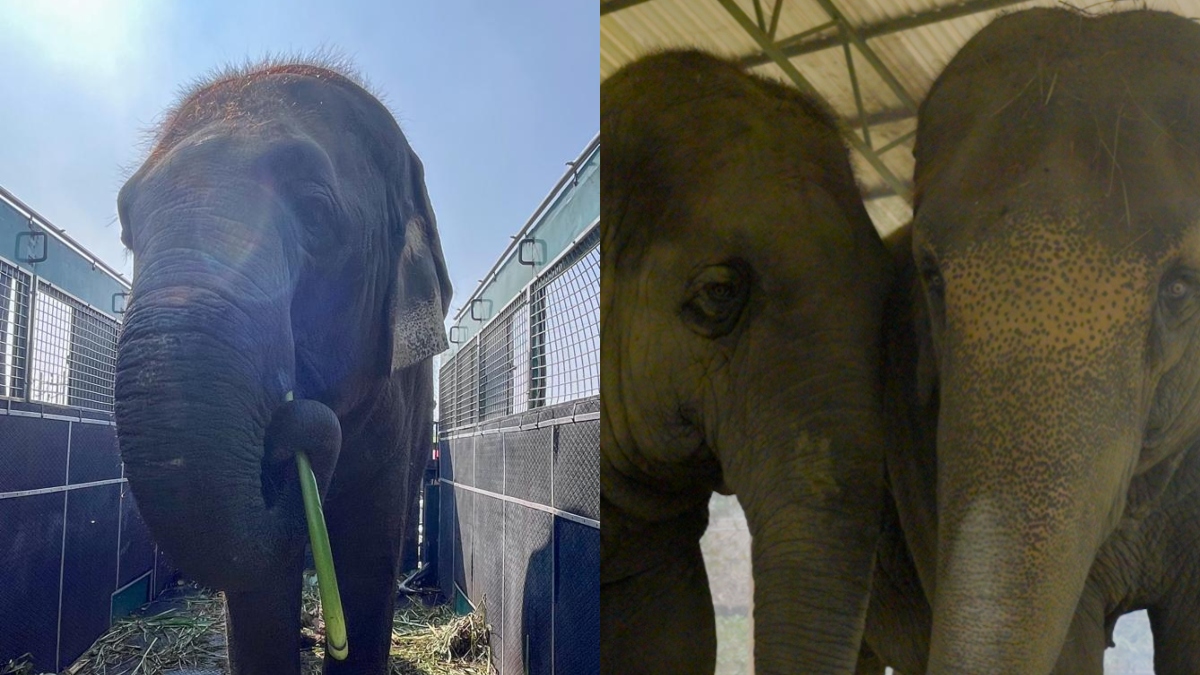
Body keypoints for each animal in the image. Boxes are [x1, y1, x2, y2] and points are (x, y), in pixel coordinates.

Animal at [112, 59, 451, 672]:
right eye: (128, 230)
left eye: (316, 214)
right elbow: (260, 586)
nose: (294, 415)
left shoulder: (397, 400)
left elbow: (369, 554)